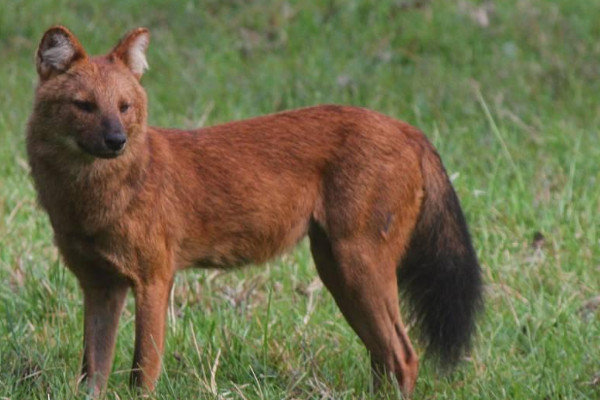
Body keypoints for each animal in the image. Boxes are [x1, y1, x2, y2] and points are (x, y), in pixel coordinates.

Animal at [27, 25, 482, 396]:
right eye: (84, 105)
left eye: (124, 106)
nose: (117, 140)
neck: (91, 200)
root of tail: (410, 129)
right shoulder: (100, 286)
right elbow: (91, 374)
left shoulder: (154, 279)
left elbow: (143, 370)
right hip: (337, 270)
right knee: (383, 356)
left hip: (358, 266)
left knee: (404, 356)